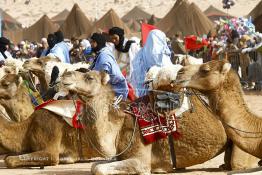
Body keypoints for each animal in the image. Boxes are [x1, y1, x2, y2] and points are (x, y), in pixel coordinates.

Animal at [59, 69, 258, 174]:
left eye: (89, 77)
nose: (65, 75)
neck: (118, 127)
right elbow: (95, 165)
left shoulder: (141, 160)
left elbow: (98, 169)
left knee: (239, 165)